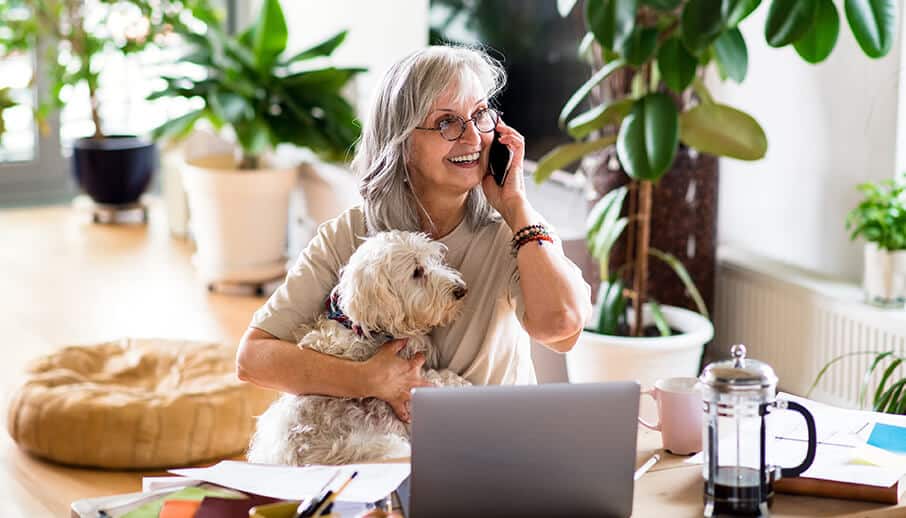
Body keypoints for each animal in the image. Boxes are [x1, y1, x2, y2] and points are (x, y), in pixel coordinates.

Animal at [249, 232, 474, 468]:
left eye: (433, 260)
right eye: (417, 272)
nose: (461, 290)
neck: (359, 327)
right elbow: (438, 380)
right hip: (388, 446)